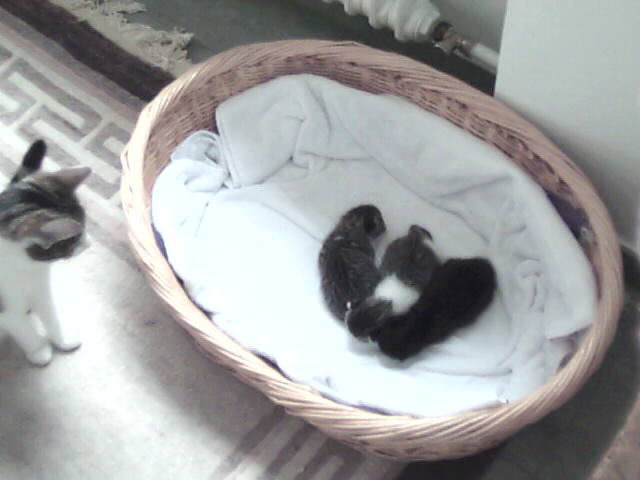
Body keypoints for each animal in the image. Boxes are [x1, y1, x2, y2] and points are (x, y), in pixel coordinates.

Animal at [0, 140, 91, 366]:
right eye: (73, 239)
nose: (90, 243)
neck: (24, 268)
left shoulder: (41, 285)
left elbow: (50, 311)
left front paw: (63, 339)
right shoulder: (2, 307)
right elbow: (19, 324)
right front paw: (39, 350)